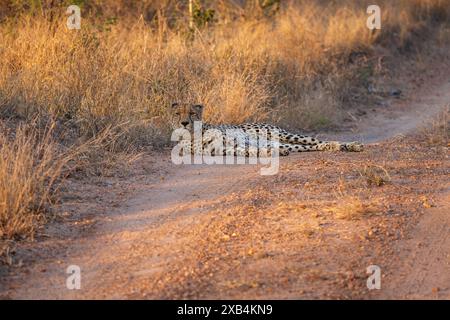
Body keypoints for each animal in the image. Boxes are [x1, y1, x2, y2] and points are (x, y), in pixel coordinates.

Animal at [171, 102, 364, 158]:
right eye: (178, 113)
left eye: (192, 113)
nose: (184, 123)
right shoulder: (221, 149)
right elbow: (248, 151)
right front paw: (268, 153)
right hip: (284, 142)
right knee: (311, 146)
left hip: (282, 134)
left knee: (317, 141)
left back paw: (351, 145)